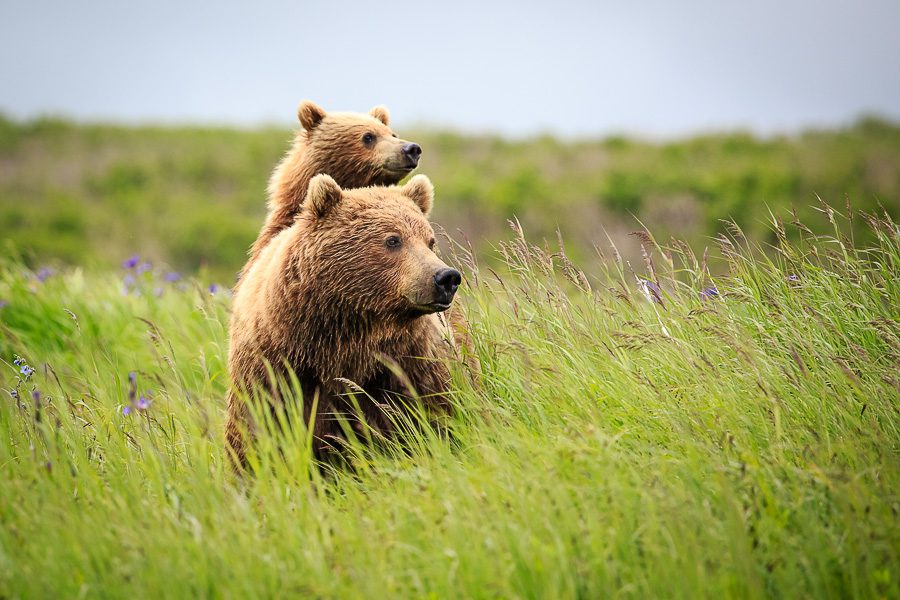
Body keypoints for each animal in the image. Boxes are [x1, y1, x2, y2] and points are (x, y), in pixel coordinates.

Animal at [225, 171, 464, 466]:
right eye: (393, 240)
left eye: (430, 241)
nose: (446, 278)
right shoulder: (275, 367)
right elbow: (258, 430)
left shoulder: (407, 362)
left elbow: (432, 414)